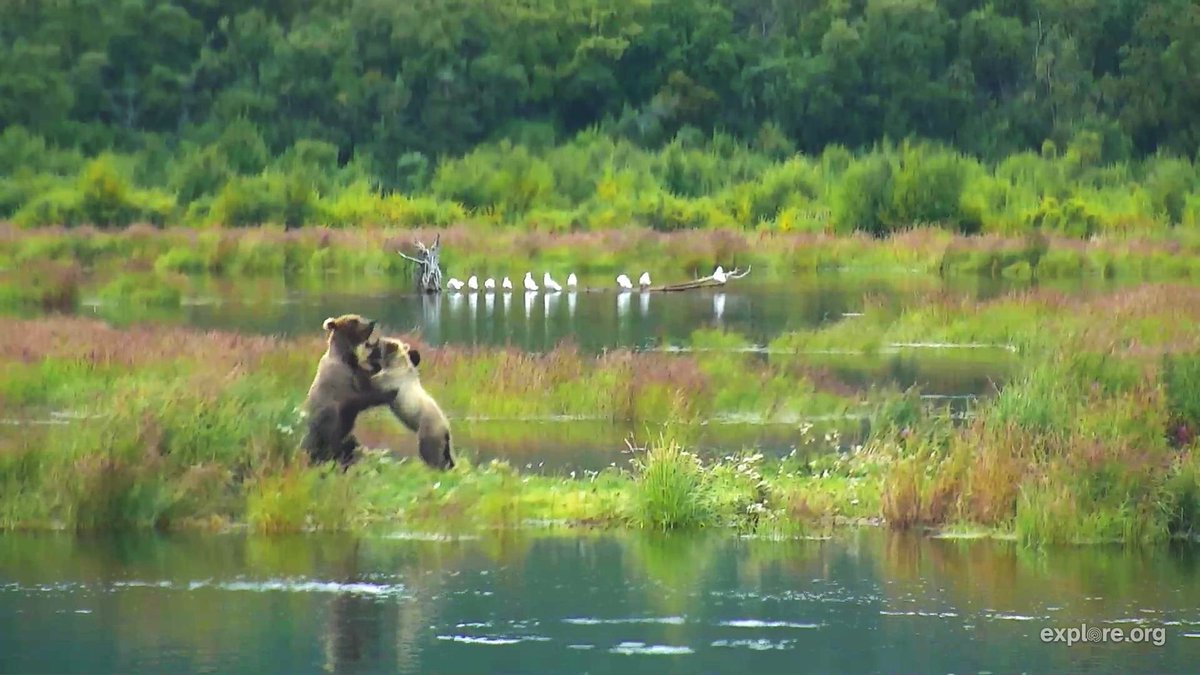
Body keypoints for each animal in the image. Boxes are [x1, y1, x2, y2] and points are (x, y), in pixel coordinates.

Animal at [300, 314, 399, 467]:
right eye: (354, 321)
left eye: (359, 317)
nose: (371, 322)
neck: (346, 357)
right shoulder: (340, 384)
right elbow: (361, 397)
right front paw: (389, 393)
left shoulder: (357, 370)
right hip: (321, 432)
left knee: (349, 445)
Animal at [364, 337, 455, 471]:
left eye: (377, 342)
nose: (367, 343)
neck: (396, 364)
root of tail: (446, 429)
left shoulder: (391, 380)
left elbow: (375, 382)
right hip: (444, 441)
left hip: (429, 431)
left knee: (430, 453)